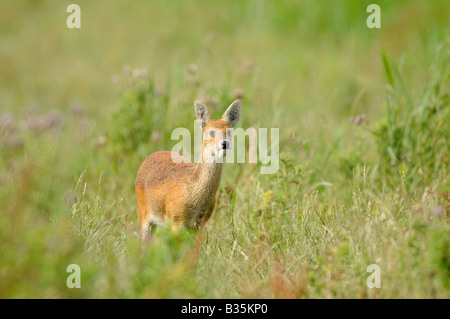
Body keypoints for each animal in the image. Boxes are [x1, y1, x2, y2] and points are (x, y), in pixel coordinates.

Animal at [135, 100, 241, 242]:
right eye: (211, 133)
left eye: (229, 132)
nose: (225, 144)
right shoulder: (176, 220)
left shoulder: (198, 225)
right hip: (143, 213)